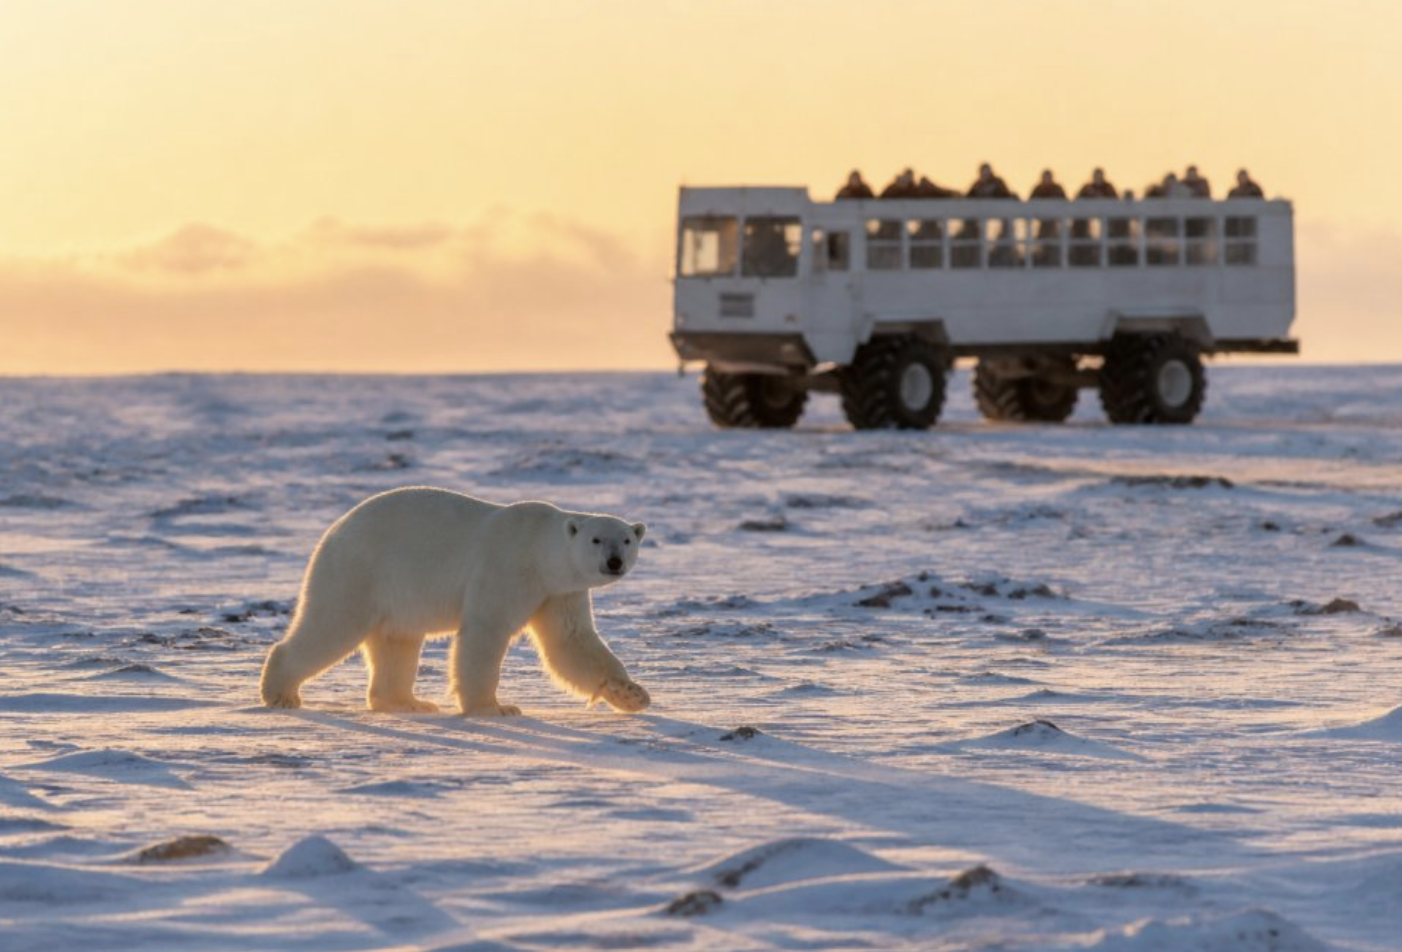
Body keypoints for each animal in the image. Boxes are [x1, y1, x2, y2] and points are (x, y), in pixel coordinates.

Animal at [259, 487, 650, 716]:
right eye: (596, 539)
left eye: (626, 540)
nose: (614, 561)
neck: (540, 551)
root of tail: (333, 530)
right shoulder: (507, 568)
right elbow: (485, 632)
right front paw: (494, 708)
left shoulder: (558, 592)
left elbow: (571, 642)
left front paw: (632, 694)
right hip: (359, 572)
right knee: (332, 625)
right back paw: (281, 693)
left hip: (396, 597)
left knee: (396, 642)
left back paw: (408, 702)